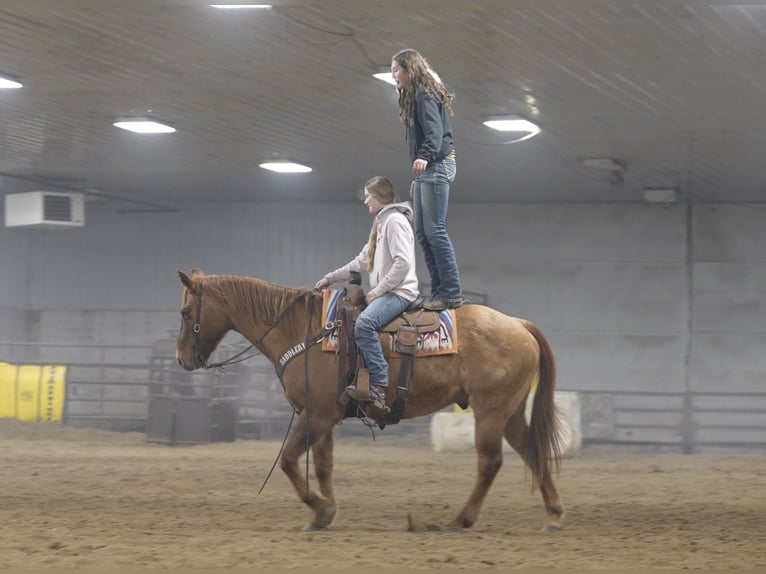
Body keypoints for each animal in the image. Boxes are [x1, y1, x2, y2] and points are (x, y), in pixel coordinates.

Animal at [177, 270, 568, 536]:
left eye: (185, 312)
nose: (182, 360)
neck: (304, 331)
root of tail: (518, 324)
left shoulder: (316, 415)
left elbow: (288, 461)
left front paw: (320, 509)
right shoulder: (324, 417)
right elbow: (323, 466)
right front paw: (325, 513)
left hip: (489, 411)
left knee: (490, 462)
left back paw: (461, 520)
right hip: (510, 413)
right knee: (531, 451)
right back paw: (553, 514)